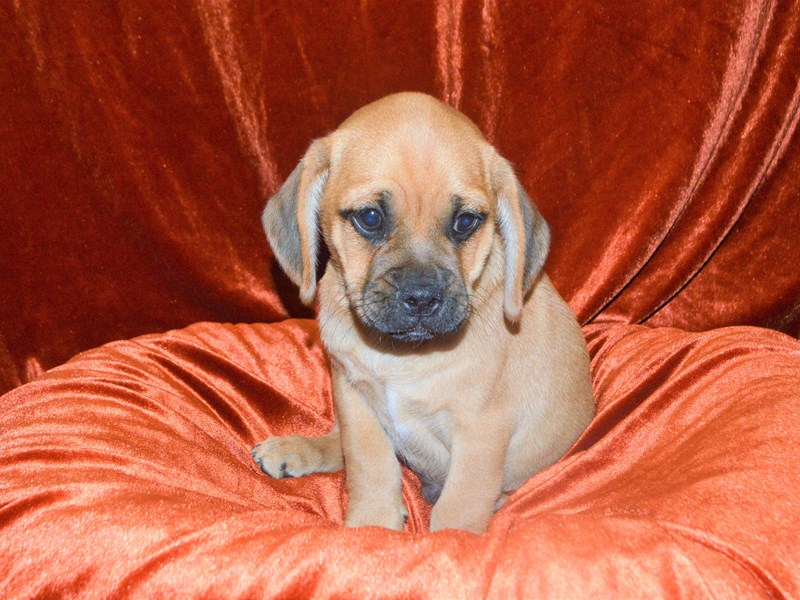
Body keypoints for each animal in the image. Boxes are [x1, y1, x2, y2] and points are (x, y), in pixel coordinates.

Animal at [252, 91, 592, 532]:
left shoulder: (481, 431)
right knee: (340, 442)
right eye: (370, 217)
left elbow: (458, 508)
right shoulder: (354, 397)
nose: (421, 298)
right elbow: (369, 467)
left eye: (465, 222)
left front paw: (447, 540)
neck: (403, 357)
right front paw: (371, 525)